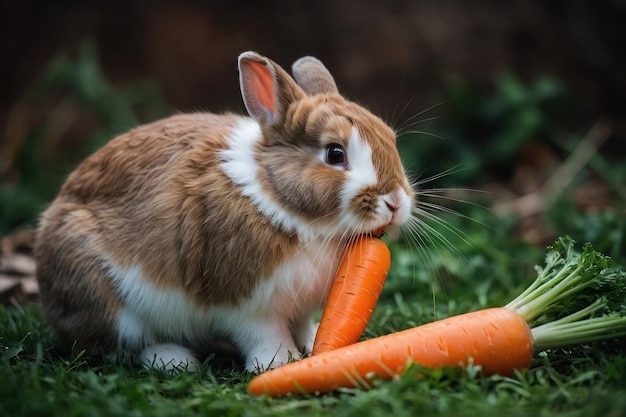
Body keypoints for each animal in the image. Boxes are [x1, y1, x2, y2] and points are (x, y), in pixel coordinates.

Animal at [35, 50, 414, 372]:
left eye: (390, 137)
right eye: (335, 154)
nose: (395, 201)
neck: (278, 201)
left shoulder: (299, 305)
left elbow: (304, 326)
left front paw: (312, 345)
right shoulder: (248, 305)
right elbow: (264, 334)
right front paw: (281, 363)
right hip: (104, 297)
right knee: (119, 346)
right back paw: (176, 360)